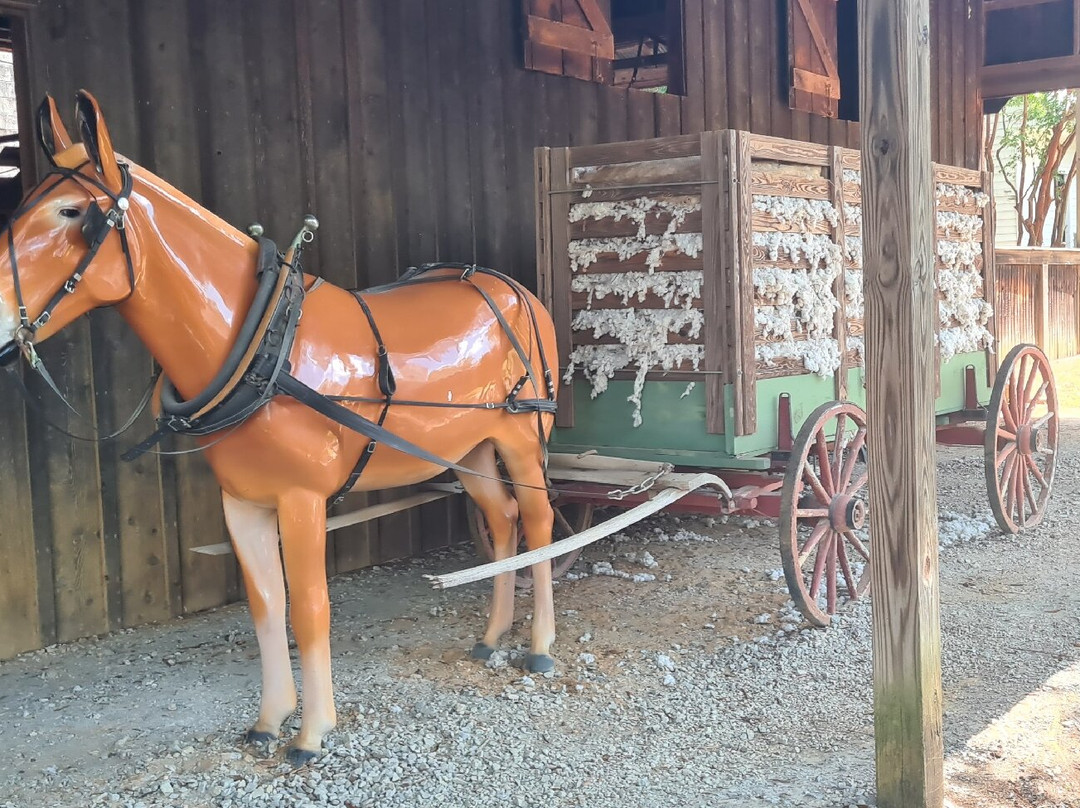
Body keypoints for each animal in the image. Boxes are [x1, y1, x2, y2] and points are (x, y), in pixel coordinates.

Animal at [0, 91, 561, 765]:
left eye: (72, 211)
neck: (262, 345)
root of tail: (515, 288)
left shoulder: (302, 500)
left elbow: (310, 609)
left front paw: (313, 732)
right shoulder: (243, 502)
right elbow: (267, 607)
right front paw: (270, 720)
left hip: (522, 438)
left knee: (538, 521)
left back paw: (539, 647)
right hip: (469, 449)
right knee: (502, 519)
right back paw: (492, 636)